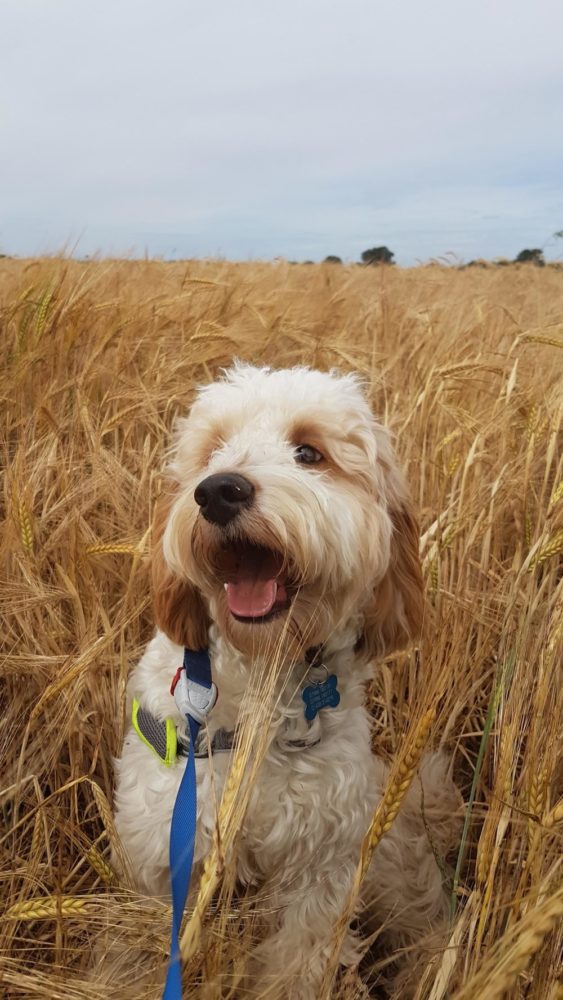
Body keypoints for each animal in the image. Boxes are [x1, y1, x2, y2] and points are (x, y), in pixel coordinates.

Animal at [112, 364, 460, 996]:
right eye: (212, 451)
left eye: (309, 452)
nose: (218, 490)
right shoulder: (164, 859)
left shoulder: (322, 874)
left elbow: (295, 965)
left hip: (393, 862)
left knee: (422, 917)